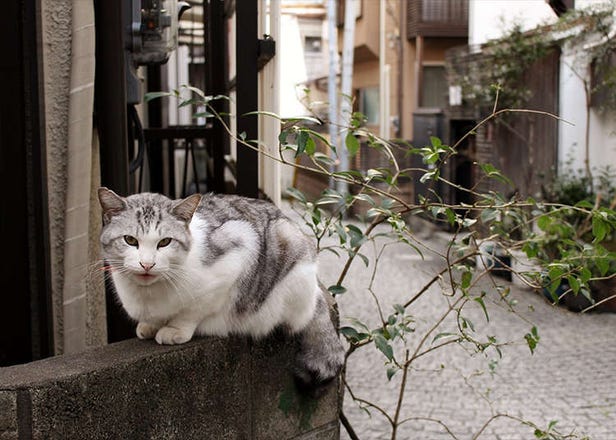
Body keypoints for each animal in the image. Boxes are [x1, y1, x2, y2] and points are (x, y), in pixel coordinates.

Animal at [98, 187, 344, 390]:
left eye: (164, 242)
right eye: (130, 240)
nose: (147, 264)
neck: (149, 295)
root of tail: (317, 290)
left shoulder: (239, 248)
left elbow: (193, 310)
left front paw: (174, 329)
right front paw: (150, 325)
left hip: (289, 257)